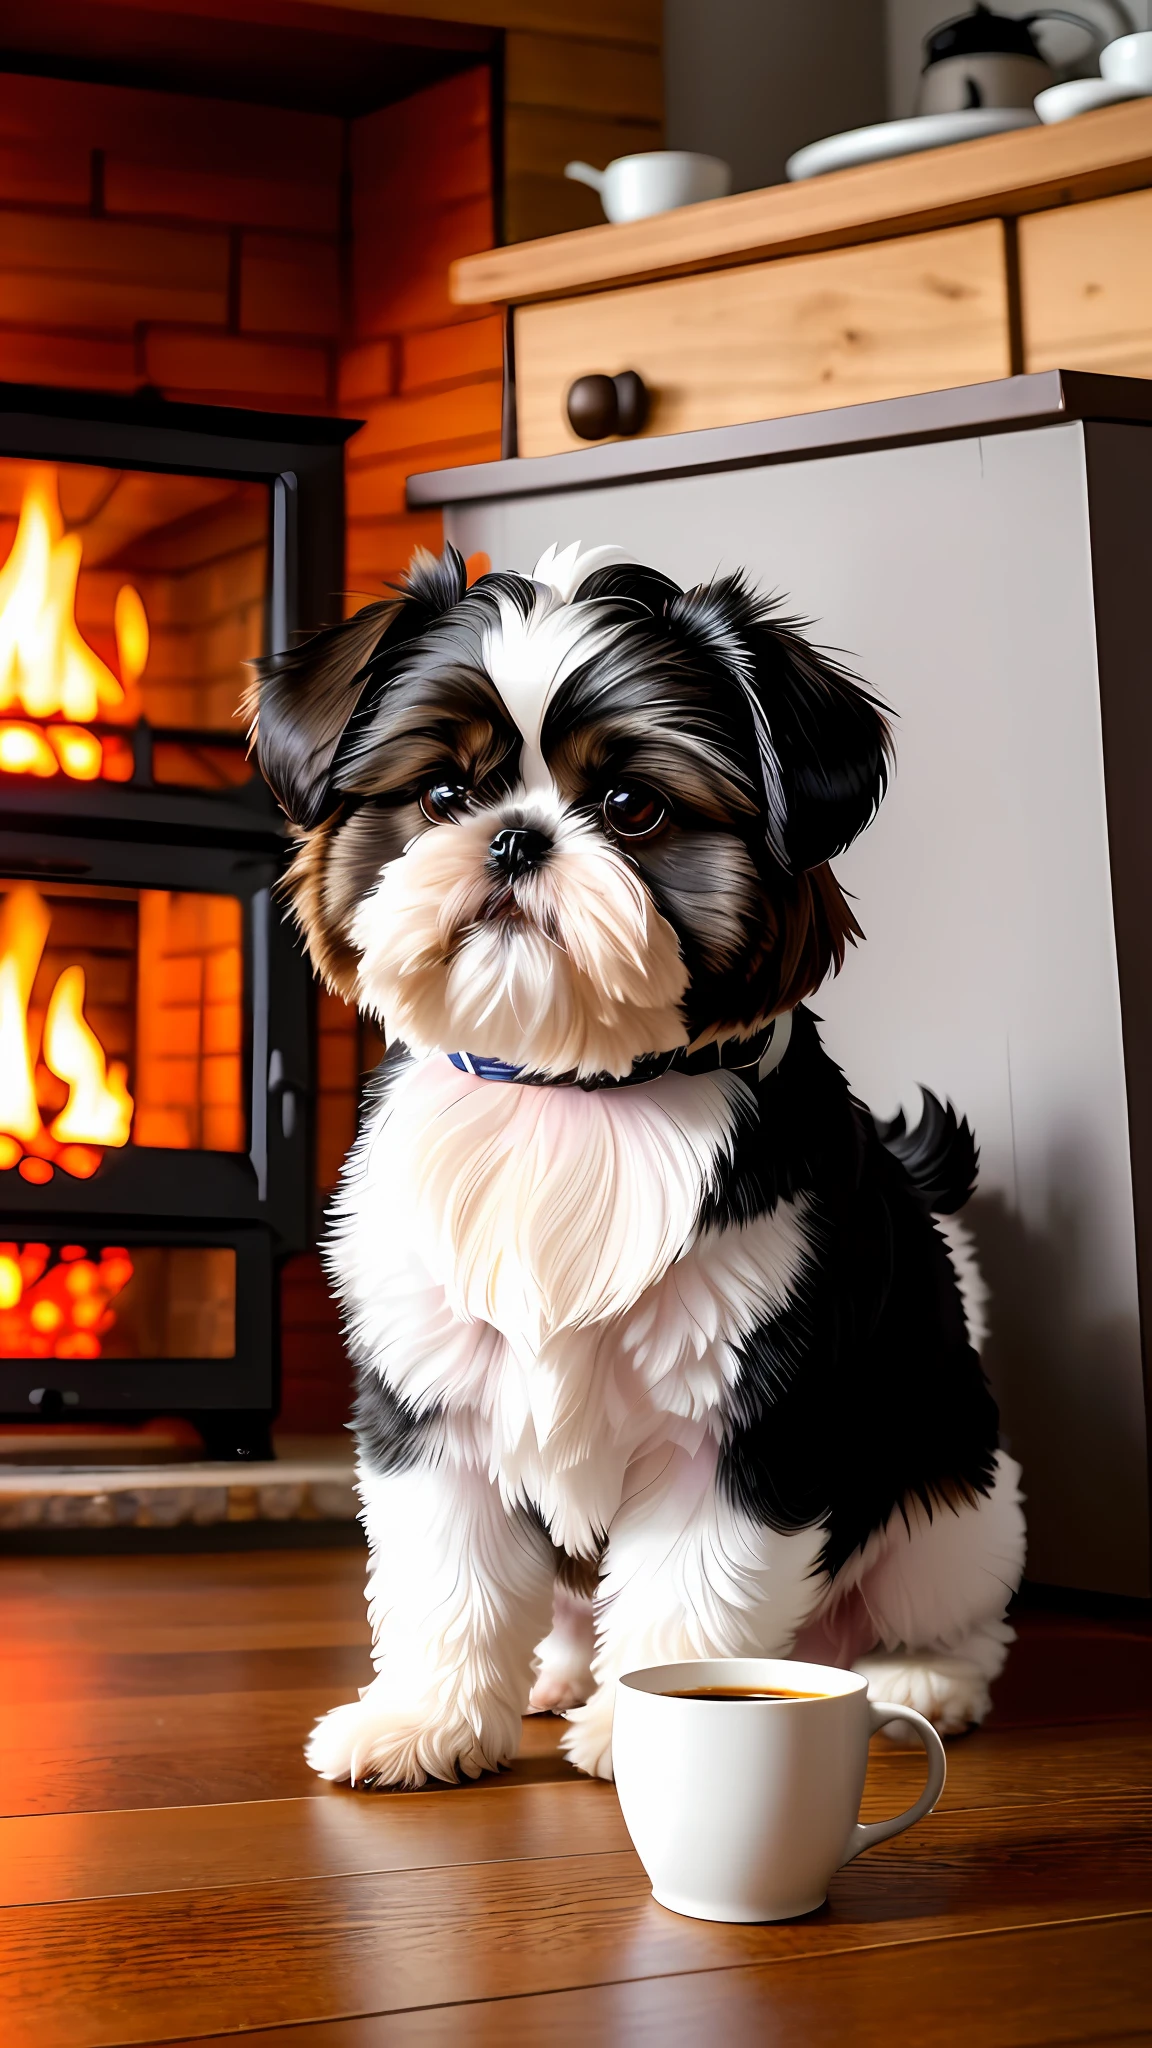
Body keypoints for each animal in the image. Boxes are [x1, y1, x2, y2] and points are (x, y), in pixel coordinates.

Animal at [251, 536, 1020, 1785]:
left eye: (632, 804)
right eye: (442, 795)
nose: (515, 834)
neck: (569, 1089)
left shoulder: (743, 1413)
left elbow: (691, 1592)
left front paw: (654, 1730)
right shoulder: (430, 1409)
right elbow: (446, 1581)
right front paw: (427, 1721)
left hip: (949, 1487)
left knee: (946, 1594)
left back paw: (921, 1676)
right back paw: (557, 1674)